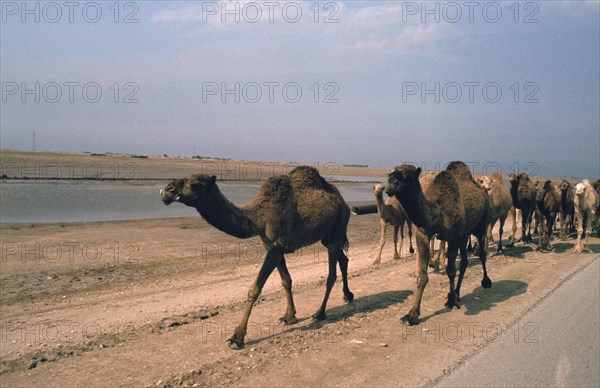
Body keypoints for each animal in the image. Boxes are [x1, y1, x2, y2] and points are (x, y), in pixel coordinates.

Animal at [162, 167, 354, 348]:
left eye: (196, 185)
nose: (167, 190)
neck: (258, 217)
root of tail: (343, 201)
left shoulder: (276, 246)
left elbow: (255, 289)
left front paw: (236, 337)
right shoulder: (272, 246)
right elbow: (286, 280)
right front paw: (289, 317)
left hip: (339, 223)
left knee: (331, 274)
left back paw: (320, 313)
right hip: (327, 235)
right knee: (343, 259)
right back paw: (348, 295)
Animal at [384, 161, 492, 324]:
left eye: (409, 176)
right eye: (391, 174)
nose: (391, 184)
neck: (436, 212)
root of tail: (483, 193)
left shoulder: (453, 237)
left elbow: (451, 271)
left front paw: (451, 301)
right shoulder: (423, 234)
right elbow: (422, 276)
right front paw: (412, 315)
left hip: (480, 225)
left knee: (482, 254)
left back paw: (485, 282)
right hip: (464, 234)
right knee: (464, 262)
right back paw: (458, 293)